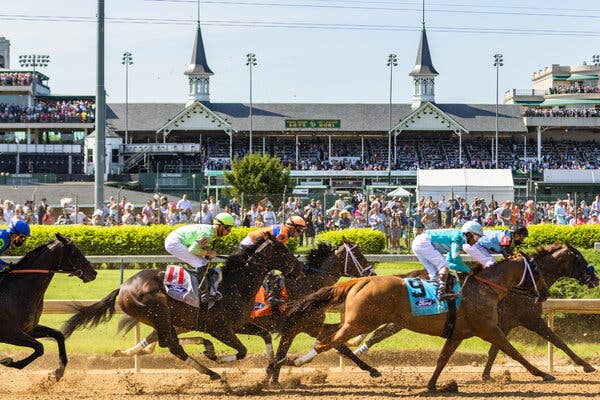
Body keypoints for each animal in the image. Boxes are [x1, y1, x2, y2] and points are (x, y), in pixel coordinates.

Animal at [0, 234, 95, 382]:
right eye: (75, 251)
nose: (93, 273)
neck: (16, 291)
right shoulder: (8, 332)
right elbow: (40, 347)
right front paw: (9, 361)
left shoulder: (29, 328)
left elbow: (58, 335)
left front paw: (59, 370)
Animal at [62, 236, 304, 380]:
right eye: (284, 251)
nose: (300, 270)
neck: (236, 284)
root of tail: (122, 287)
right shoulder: (219, 328)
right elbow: (242, 351)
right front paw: (217, 358)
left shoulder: (239, 324)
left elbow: (266, 336)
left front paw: (271, 367)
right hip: (158, 311)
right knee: (171, 344)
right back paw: (212, 370)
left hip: (164, 317)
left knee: (168, 341)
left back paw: (205, 351)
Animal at [282, 253, 552, 390]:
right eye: (537, 271)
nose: (545, 293)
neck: (485, 288)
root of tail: (360, 280)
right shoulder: (489, 329)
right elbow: (514, 352)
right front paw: (543, 374)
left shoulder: (457, 334)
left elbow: (443, 358)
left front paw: (432, 384)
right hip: (362, 321)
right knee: (328, 341)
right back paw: (296, 361)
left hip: (357, 320)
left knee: (329, 333)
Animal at [350, 242, 596, 380]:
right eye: (580, 259)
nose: (595, 278)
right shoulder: (530, 319)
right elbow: (558, 341)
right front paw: (586, 365)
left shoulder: (503, 324)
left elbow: (496, 350)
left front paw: (487, 374)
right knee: (378, 333)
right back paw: (360, 352)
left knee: (379, 332)